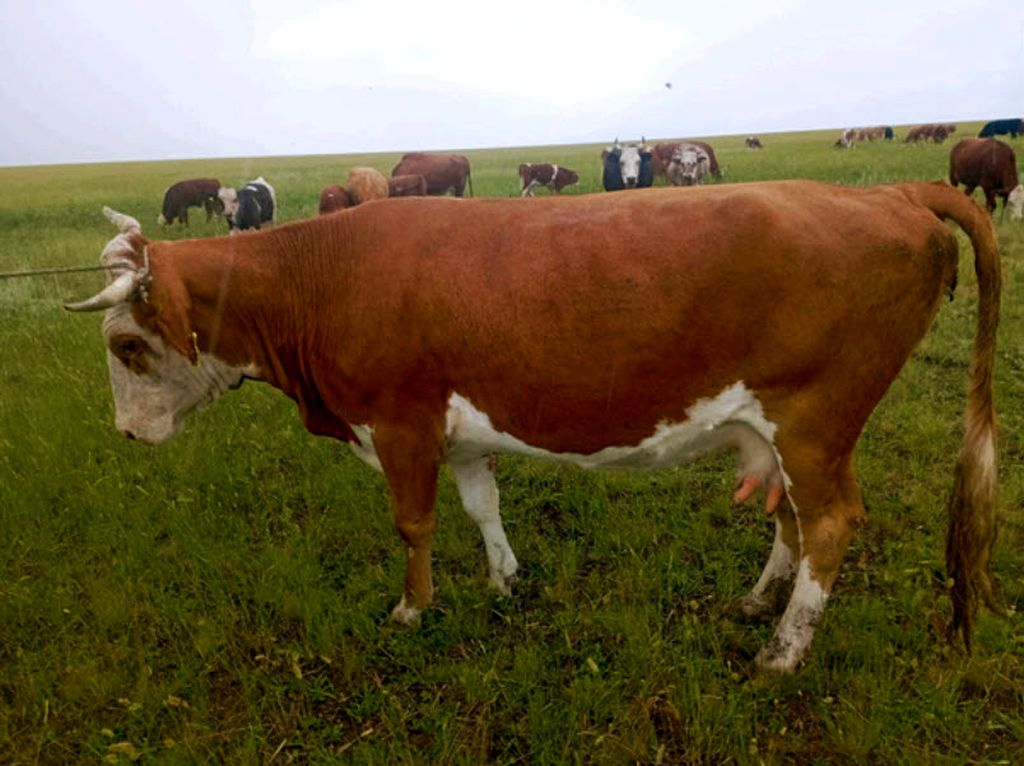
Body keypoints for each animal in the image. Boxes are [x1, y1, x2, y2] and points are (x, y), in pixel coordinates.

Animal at [66, 182, 1002, 674]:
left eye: (126, 345)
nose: (125, 434)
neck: (323, 277)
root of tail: (888, 190)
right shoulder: (460, 431)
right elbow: (482, 508)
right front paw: (504, 581)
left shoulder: (399, 422)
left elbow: (413, 523)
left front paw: (412, 610)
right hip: (779, 432)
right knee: (796, 522)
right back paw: (756, 602)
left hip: (815, 420)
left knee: (832, 523)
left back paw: (783, 650)